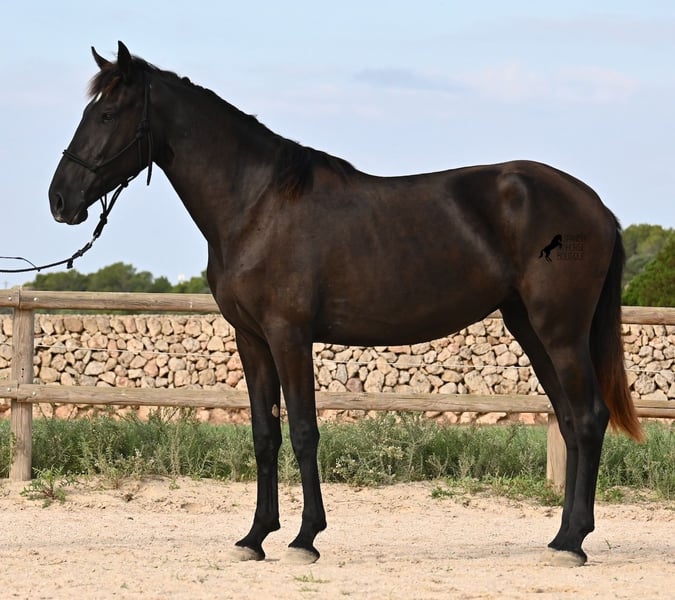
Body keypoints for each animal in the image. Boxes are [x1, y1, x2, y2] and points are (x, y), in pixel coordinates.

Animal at [48, 41, 642, 567]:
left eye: (107, 113)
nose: (60, 200)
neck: (256, 205)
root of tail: (595, 206)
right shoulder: (251, 338)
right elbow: (265, 434)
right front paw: (255, 537)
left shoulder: (289, 334)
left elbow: (304, 431)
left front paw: (305, 538)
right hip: (530, 328)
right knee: (570, 421)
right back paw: (562, 537)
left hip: (560, 331)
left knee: (589, 418)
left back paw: (573, 544)